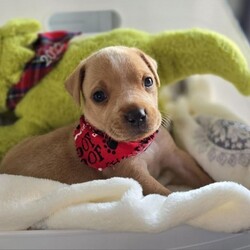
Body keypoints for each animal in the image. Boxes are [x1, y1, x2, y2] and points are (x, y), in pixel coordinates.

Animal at [0, 47, 213, 195]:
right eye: (99, 96)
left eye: (148, 81)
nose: (137, 115)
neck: (141, 145)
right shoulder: (135, 175)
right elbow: (163, 193)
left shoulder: (177, 157)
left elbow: (201, 175)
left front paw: (218, 185)